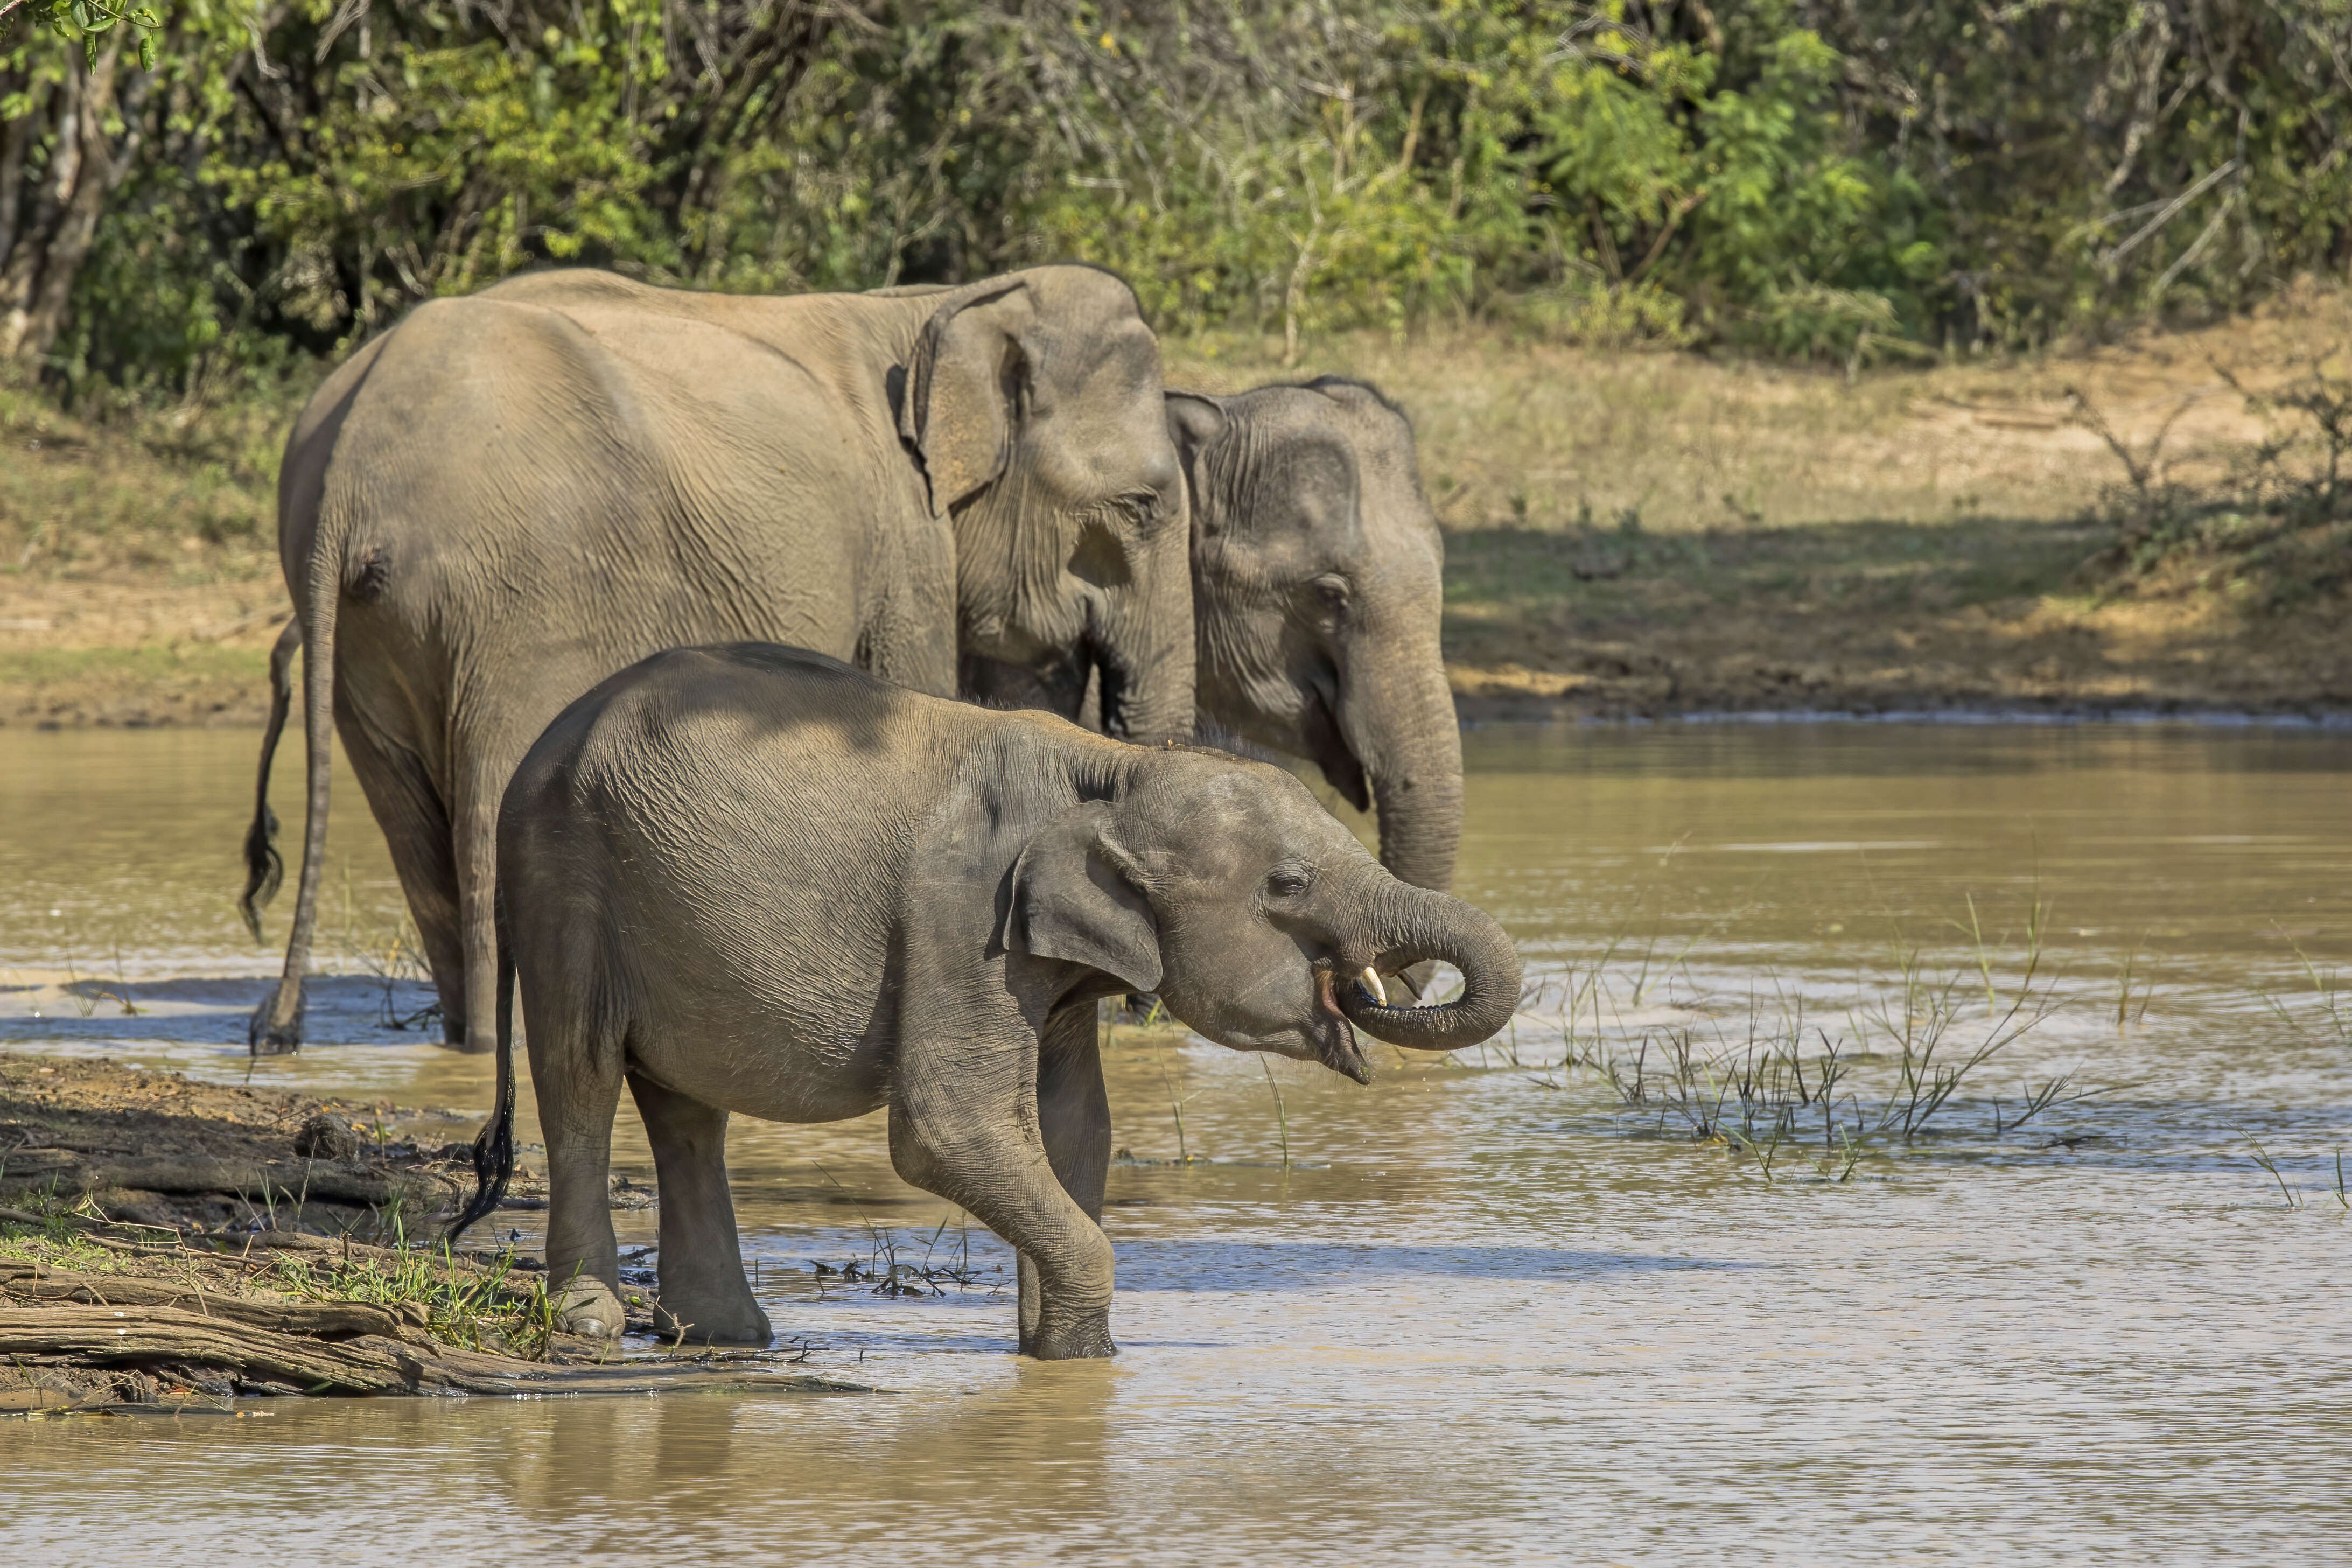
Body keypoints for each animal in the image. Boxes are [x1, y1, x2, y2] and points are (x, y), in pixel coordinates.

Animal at [234, 267, 1194, 1053]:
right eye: (1141, 507)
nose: (1138, 1011)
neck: (943, 307)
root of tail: (348, 468)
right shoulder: (902, 541)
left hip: (369, 633)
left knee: (412, 821)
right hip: (516, 595)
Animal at [451, 644, 1524, 1354]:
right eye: (1289, 885)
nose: (1367, 987)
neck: (1108, 770)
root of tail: (540, 746)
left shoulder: (1046, 959)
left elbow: (1073, 1128)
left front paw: (1054, 1358)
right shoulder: (960, 916)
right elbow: (948, 1130)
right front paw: (1087, 1355)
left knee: (685, 1107)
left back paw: (726, 1336)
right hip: (566, 881)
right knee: (582, 1074)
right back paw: (596, 1323)